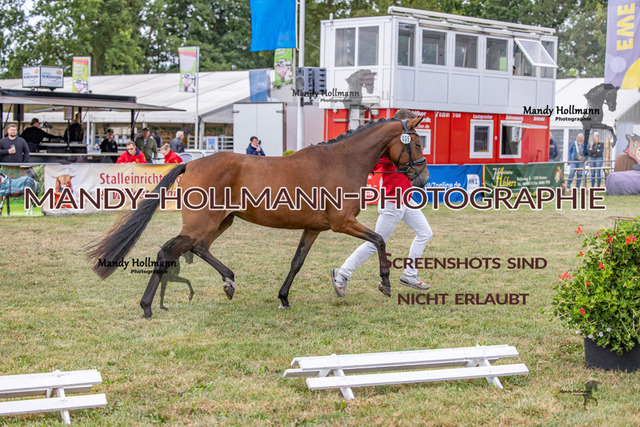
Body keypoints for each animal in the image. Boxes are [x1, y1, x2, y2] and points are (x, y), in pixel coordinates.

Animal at [88, 117, 429, 318]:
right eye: (416, 142)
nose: (424, 178)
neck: (342, 161)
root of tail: (191, 163)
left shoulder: (313, 228)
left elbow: (297, 261)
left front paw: (283, 298)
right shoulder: (342, 223)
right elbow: (379, 240)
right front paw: (385, 283)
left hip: (222, 221)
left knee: (198, 248)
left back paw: (229, 281)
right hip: (203, 223)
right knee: (168, 251)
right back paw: (147, 306)